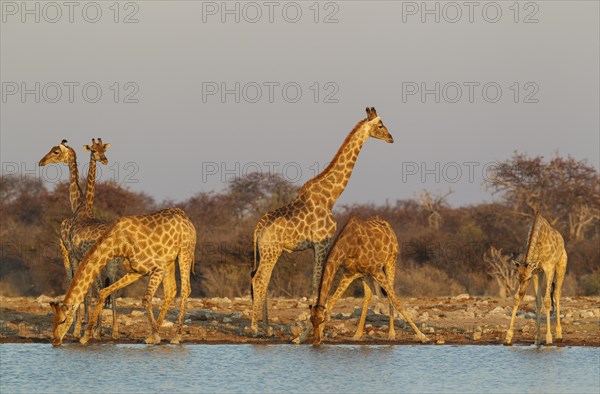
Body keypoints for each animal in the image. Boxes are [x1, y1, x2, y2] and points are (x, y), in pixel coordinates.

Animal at [49, 208, 196, 346]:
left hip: (185, 251)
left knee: (185, 289)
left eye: (63, 320)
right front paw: (86, 336)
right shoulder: (135, 271)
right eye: (53, 321)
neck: (117, 244)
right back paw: (153, 336)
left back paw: (176, 336)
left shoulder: (158, 268)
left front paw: (156, 336)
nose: (55, 340)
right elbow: (103, 292)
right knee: (171, 291)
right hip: (169, 260)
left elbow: (146, 299)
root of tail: (188, 220)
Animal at [248, 106, 394, 334]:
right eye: (380, 125)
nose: (391, 138)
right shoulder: (322, 243)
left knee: (264, 279)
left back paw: (267, 325)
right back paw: (255, 327)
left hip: (269, 251)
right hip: (271, 250)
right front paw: (319, 322)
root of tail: (258, 229)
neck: (330, 196)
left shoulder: (317, 246)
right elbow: (317, 282)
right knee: (259, 279)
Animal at [506, 212, 568, 344]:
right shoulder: (535, 271)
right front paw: (508, 336)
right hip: (541, 273)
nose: (522, 292)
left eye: (527, 279)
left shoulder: (548, 268)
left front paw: (549, 338)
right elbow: (536, 301)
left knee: (557, 293)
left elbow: (547, 301)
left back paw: (559, 335)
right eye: (517, 278)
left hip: (561, 264)